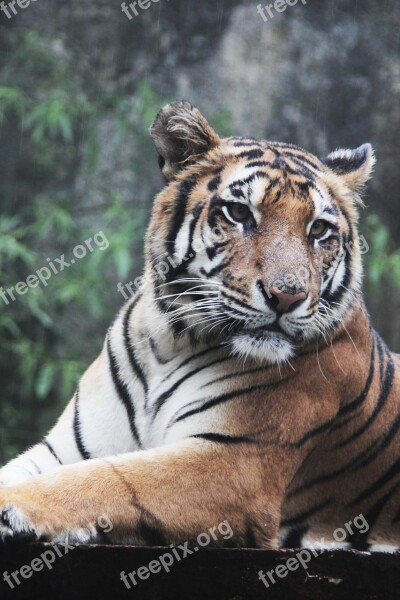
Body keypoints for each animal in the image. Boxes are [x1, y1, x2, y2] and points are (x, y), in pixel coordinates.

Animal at [0, 99, 400, 552]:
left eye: (318, 230)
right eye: (239, 212)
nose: (287, 295)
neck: (170, 341)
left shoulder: (233, 464)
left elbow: (112, 479)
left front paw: (16, 505)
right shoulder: (66, 447)